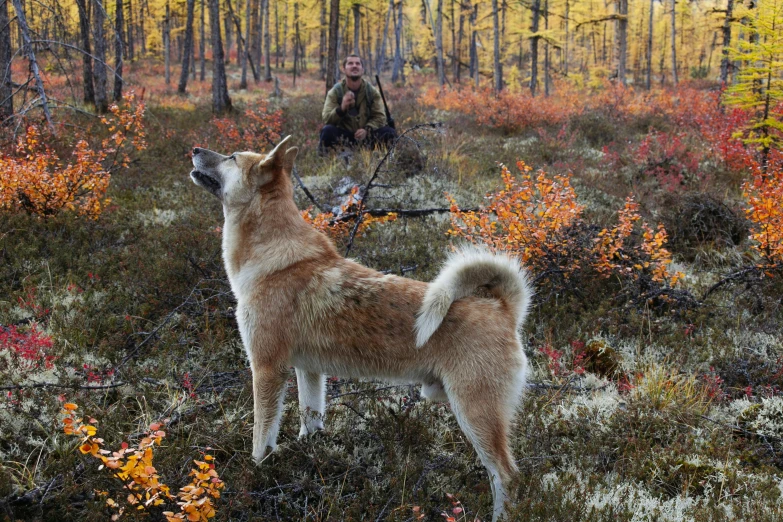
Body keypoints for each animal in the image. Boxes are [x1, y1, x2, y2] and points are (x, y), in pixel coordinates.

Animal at [190, 136, 532, 516]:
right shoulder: (309, 372)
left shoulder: (266, 370)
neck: (273, 259)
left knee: (507, 475)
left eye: (231, 157)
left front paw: (257, 473)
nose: (195, 149)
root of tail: (503, 307)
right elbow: (311, 420)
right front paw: (309, 453)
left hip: (474, 414)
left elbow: (260, 439)